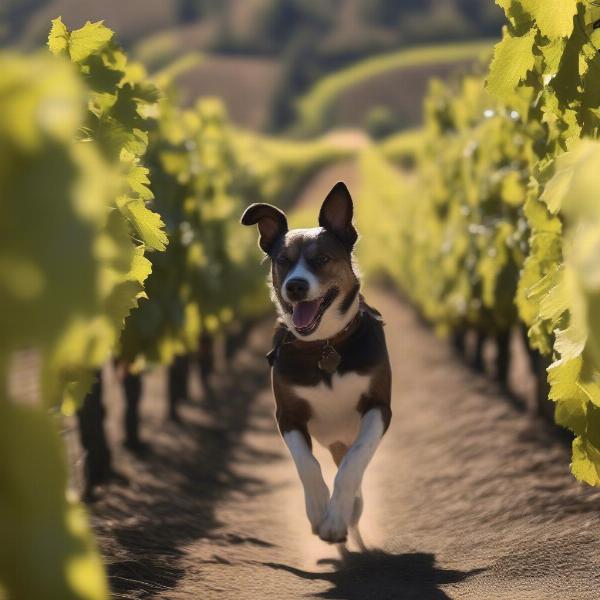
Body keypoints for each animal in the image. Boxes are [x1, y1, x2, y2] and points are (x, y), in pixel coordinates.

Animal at [241, 183, 392, 544]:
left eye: (321, 259)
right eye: (283, 261)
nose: (295, 286)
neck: (324, 344)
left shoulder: (379, 405)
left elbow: (356, 459)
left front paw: (336, 516)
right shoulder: (288, 414)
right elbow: (306, 464)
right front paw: (319, 509)